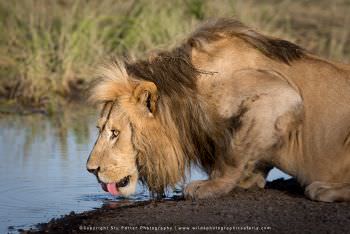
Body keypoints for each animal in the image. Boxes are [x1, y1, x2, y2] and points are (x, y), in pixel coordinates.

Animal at [87, 18, 350, 201]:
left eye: (115, 133)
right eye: (100, 129)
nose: (91, 170)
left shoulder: (281, 95)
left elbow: (233, 151)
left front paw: (211, 186)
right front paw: (248, 179)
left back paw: (324, 189)